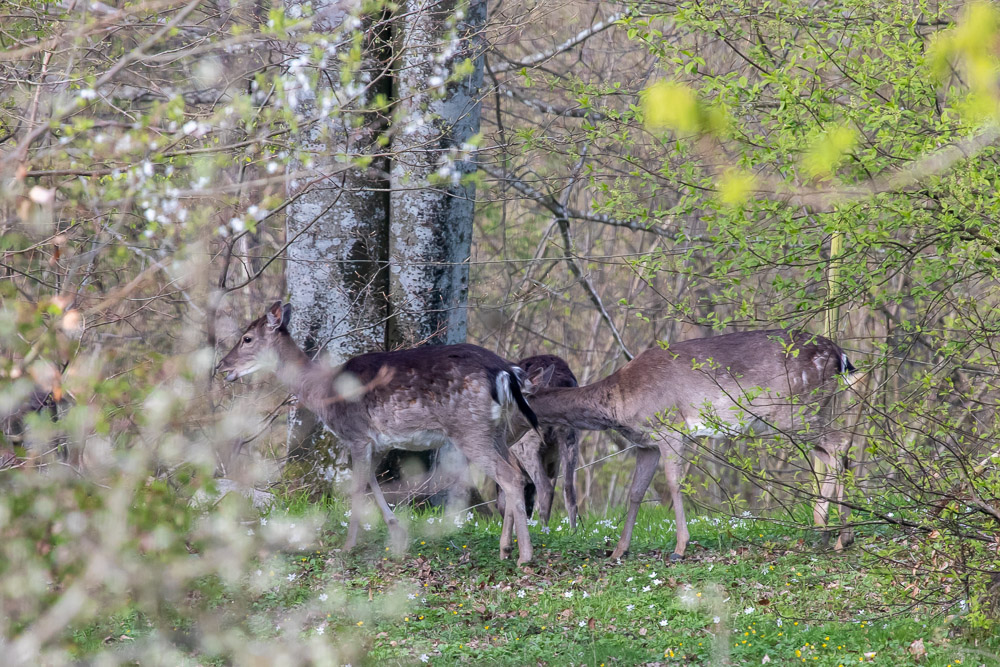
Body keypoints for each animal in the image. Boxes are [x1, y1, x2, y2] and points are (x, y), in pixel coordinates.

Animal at [217, 306, 540, 568]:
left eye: (247, 338)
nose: (222, 365)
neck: (323, 392)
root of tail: (505, 372)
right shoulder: (378, 441)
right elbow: (373, 481)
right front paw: (397, 532)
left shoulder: (356, 435)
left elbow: (357, 487)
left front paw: (347, 546)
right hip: (498, 429)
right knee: (515, 471)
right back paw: (505, 548)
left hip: (469, 428)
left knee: (510, 476)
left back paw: (524, 556)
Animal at [496, 352, 584, 528]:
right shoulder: (553, 462)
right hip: (570, 436)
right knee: (569, 490)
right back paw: (573, 531)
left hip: (527, 443)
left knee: (545, 489)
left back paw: (544, 530)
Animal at [524, 332, 860, 560]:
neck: (619, 402)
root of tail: (840, 356)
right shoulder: (645, 444)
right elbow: (635, 493)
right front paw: (620, 550)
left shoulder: (670, 428)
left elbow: (675, 485)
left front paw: (680, 548)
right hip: (801, 416)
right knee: (832, 451)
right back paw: (825, 532)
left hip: (795, 411)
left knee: (841, 442)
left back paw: (841, 535)